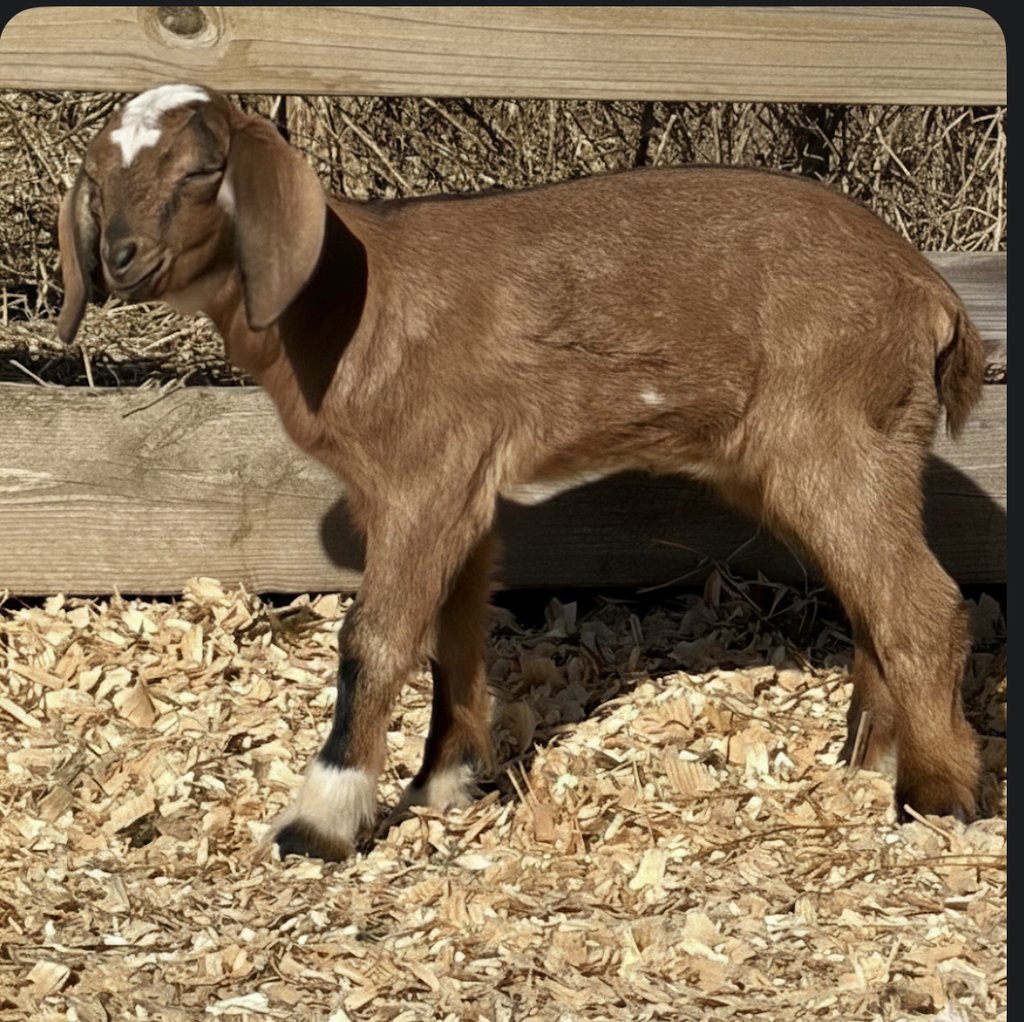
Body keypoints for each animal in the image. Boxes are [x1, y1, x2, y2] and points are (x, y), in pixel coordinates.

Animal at [58, 84, 986, 860]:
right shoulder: (461, 488)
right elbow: (455, 628)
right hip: (826, 451)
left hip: (835, 435)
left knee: (923, 603)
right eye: (97, 181)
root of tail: (933, 293)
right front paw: (443, 782)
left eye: (201, 170)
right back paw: (867, 755)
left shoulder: (424, 475)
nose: (118, 260)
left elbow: (377, 637)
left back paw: (936, 796)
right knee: (871, 594)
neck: (348, 304)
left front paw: (320, 820)